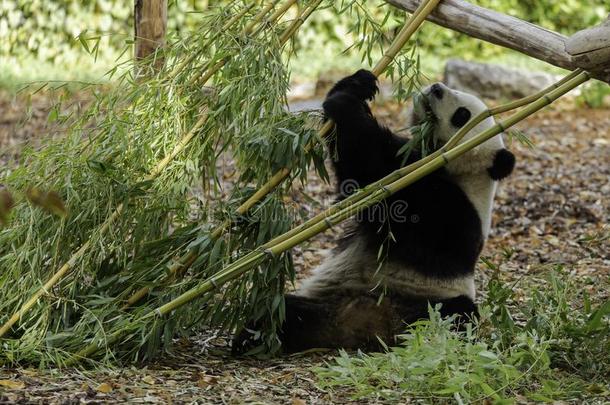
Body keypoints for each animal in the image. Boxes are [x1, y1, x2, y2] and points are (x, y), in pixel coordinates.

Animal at [233, 68, 512, 352]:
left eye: (462, 115)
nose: (436, 88)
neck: (467, 174)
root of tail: (364, 328)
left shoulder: (453, 212)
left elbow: (373, 169)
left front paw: (344, 104)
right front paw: (359, 83)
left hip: (429, 298)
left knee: (457, 313)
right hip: (326, 302)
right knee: (283, 313)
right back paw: (251, 337)